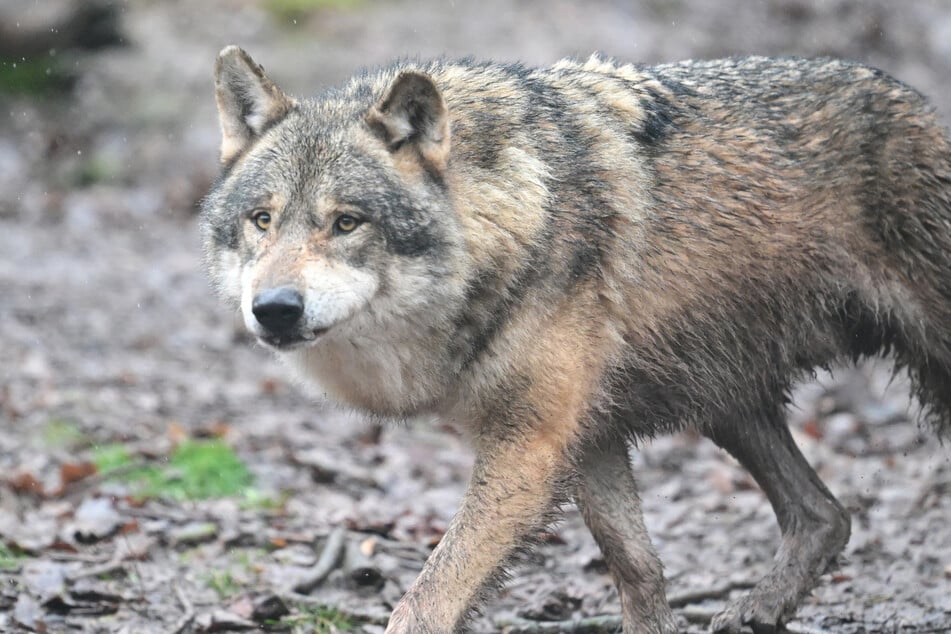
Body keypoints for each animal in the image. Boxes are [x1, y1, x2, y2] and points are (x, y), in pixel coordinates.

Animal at [200, 46, 951, 633]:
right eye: (262, 220)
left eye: (346, 222)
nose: (274, 309)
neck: (511, 221)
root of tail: (921, 104)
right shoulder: (587, 435)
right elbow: (638, 567)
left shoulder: (529, 445)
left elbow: (425, 602)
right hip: (725, 403)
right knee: (825, 514)